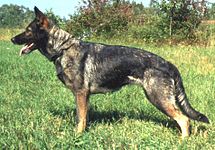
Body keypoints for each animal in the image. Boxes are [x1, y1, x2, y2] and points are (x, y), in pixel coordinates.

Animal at [10, 6, 209, 138]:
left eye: (28, 31)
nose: (12, 39)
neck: (63, 48)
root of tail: (168, 64)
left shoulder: (81, 93)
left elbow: (80, 119)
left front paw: (77, 136)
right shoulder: (84, 96)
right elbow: (83, 117)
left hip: (158, 98)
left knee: (184, 119)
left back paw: (183, 141)